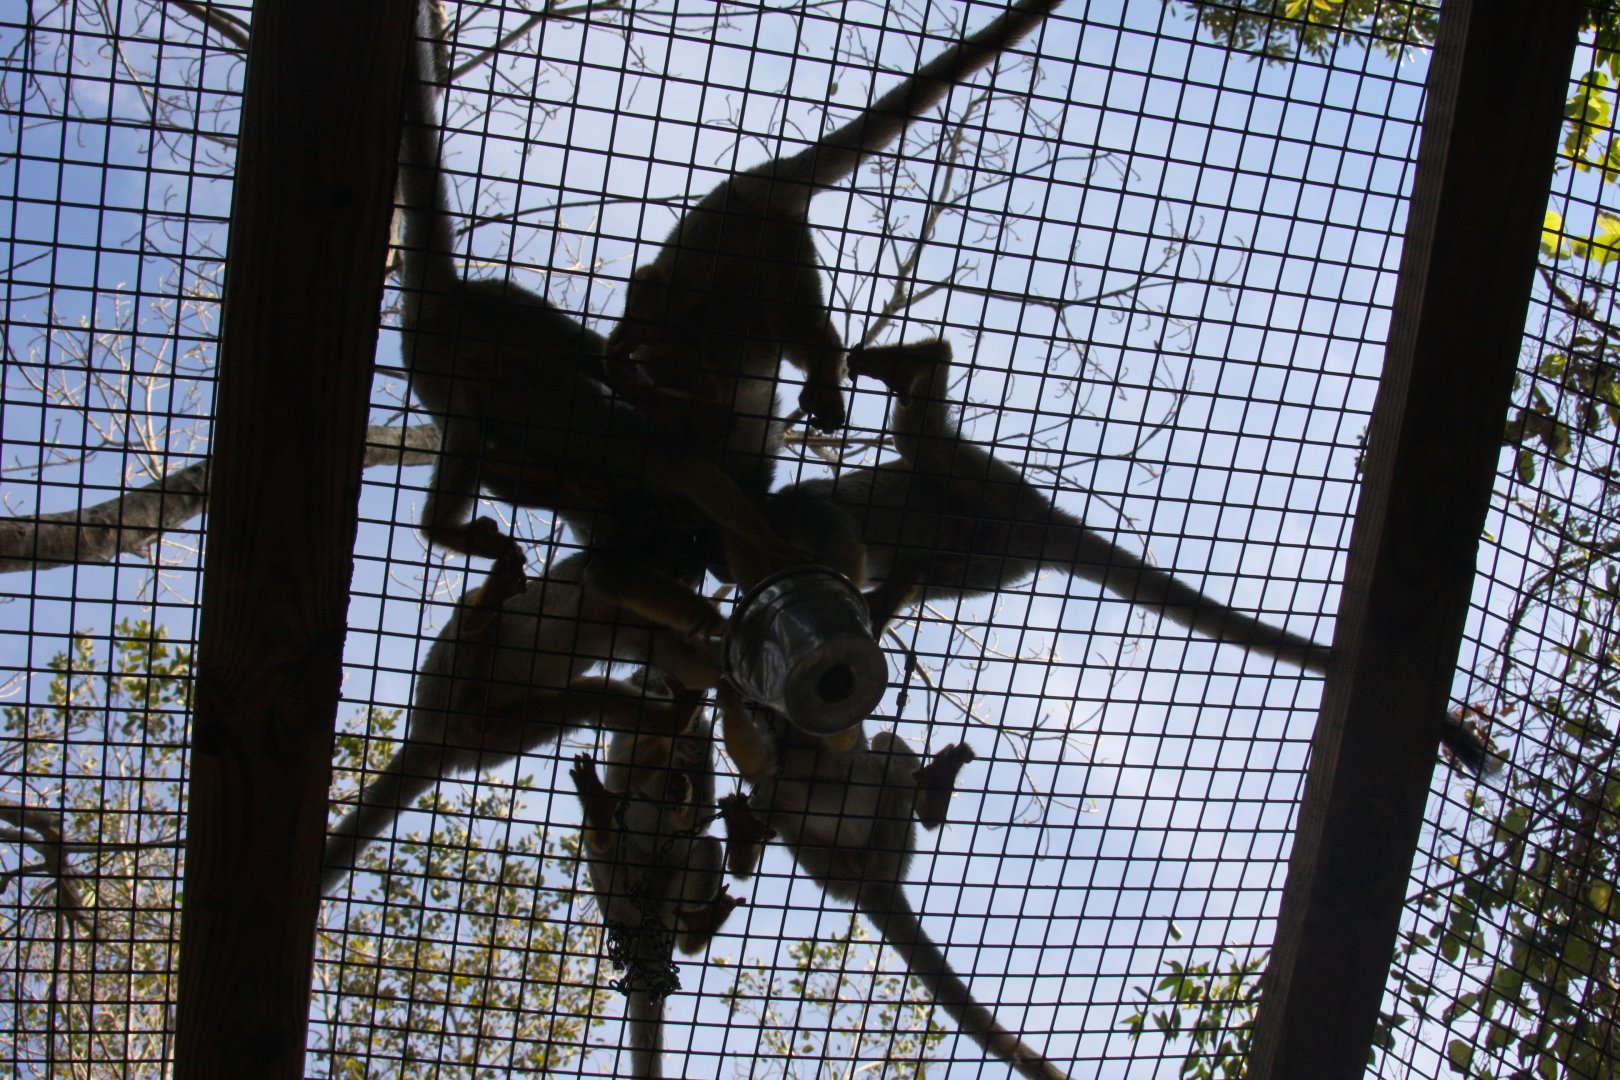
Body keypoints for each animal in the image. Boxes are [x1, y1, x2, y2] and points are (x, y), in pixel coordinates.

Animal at [321, 551, 726, 896]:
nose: (692, 574)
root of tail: (434, 735)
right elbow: (610, 577)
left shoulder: (641, 623)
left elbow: (684, 660)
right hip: (440, 684)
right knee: (474, 618)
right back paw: (481, 612)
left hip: (509, 734)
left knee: (582, 698)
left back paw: (673, 720)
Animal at [570, 684, 740, 1080]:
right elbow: (622, 776)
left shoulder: (703, 748)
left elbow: (701, 818)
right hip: (614, 890)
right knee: (605, 835)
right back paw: (600, 821)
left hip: (664, 907)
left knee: (706, 848)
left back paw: (696, 930)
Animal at [715, 683, 1074, 1080]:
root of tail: (872, 879)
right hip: (836, 856)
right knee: (771, 792)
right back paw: (745, 840)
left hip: (890, 835)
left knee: (881, 747)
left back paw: (932, 798)